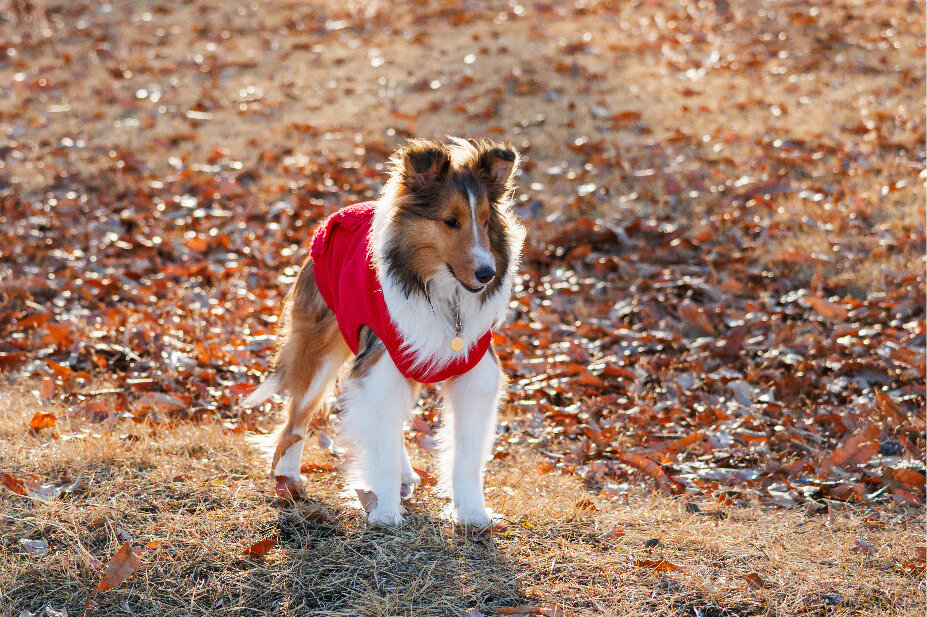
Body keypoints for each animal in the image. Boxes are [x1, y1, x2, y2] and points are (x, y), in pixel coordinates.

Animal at [243, 136, 524, 524]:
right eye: (451, 221)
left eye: (484, 221)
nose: (487, 273)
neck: (442, 295)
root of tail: (341, 213)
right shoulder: (380, 368)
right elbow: (380, 447)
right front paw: (385, 512)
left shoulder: (473, 373)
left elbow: (466, 458)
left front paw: (472, 514)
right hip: (321, 354)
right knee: (296, 418)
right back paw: (288, 479)